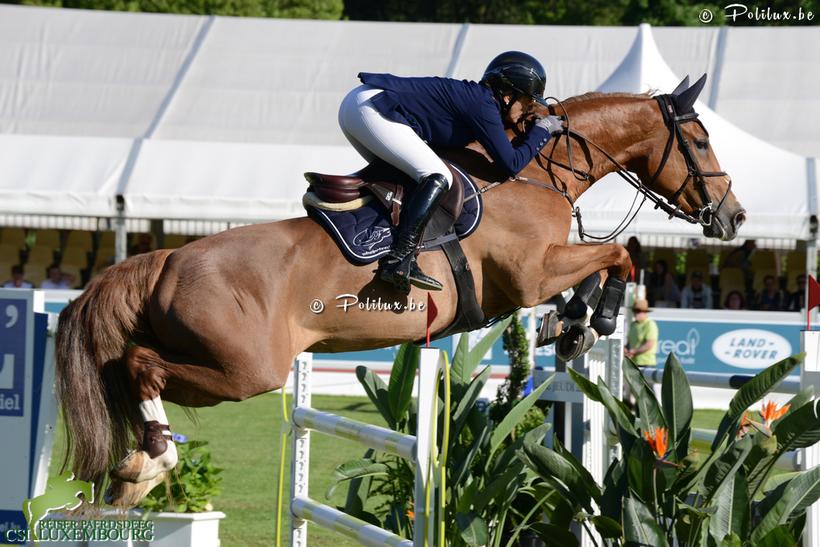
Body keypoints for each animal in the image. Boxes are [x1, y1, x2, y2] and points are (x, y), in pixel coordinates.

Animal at [56, 75, 744, 508]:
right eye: (700, 141)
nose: (733, 217)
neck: (535, 171)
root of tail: (167, 257)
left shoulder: (538, 276)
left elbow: (602, 263)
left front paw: (572, 326)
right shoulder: (531, 273)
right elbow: (619, 254)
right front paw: (592, 321)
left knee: (128, 365)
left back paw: (137, 470)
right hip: (247, 369)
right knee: (141, 366)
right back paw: (150, 465)